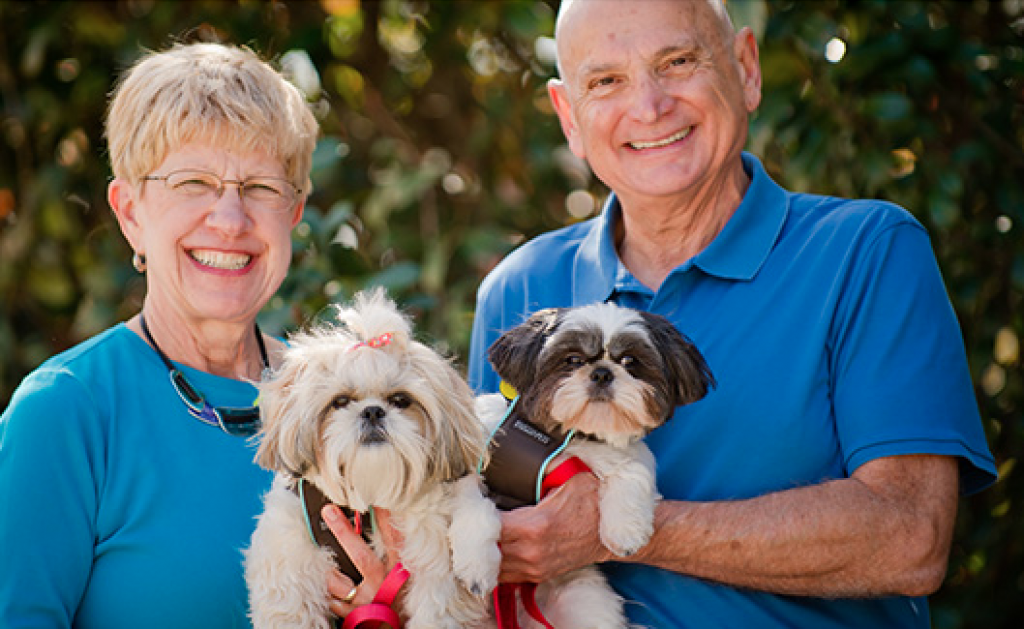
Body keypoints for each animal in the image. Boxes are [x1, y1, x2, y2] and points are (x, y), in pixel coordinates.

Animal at [247, 290, 503, 629]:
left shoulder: (434, 572)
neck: (367, 496)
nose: (372, 411)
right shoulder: (288, 558)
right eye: (340, 401)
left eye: (401, 400)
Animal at [477, 303, 712, 626]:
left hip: (584, 602)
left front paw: (626, 532)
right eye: (573, 360)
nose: (602, 373)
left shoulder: (625, 453)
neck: (564, 435)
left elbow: (634, 469)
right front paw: (474, 559)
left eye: (629, 361)